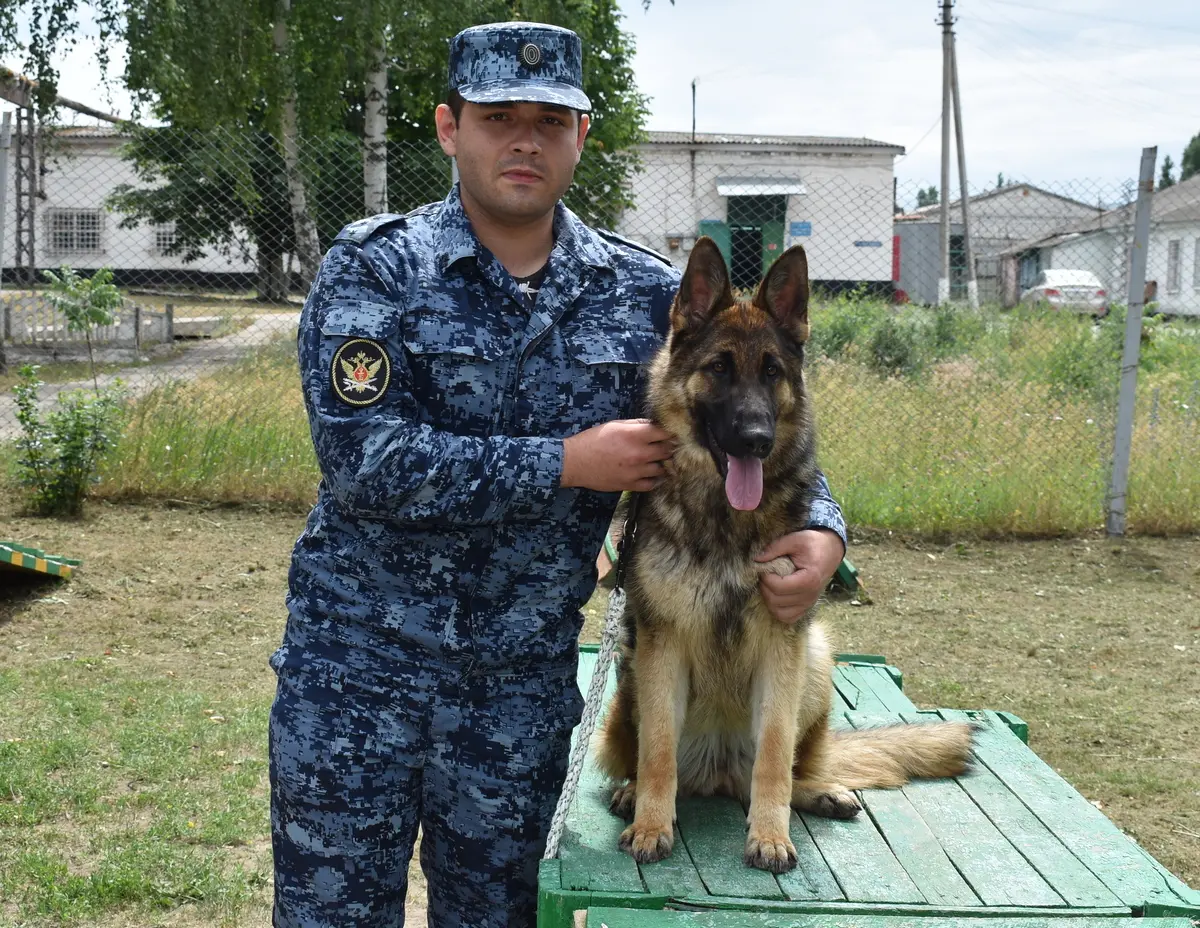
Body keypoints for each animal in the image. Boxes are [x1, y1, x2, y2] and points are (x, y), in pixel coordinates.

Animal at [592, 235, 974, 873]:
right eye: (719, 368)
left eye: (772, 372)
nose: (756, 440)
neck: (727, 521)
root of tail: (718, 773)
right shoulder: (662, 645)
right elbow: (658, 752)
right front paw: (651, 824)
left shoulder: (781, 646)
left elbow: (774, 755)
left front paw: (770, 836)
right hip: (629, 672)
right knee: (650, 759)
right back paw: (633, 795)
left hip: (815, 658)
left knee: (789, 768)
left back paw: (818, 792)